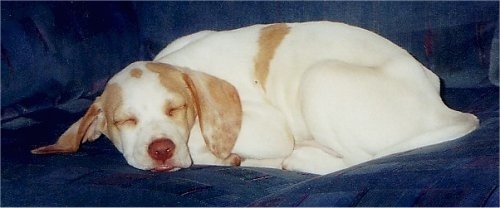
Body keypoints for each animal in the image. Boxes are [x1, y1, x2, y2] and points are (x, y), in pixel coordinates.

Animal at [30, 21, 476, 175]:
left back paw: (294, 159)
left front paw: (217, 154)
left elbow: (204, 144)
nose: (161, 150)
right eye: (125, 121)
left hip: (320, 78)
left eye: (177, 109)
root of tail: (442, 106)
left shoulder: (268, 128)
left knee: (356, 161)